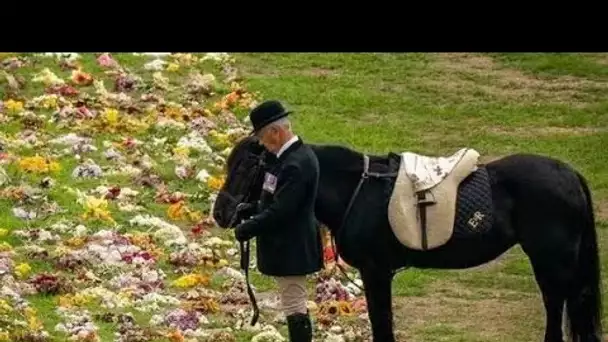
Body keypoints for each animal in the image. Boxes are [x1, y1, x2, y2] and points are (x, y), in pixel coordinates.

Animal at [211, 137, 600, 342]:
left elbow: (381, 321)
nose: (221, 213)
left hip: (551, 259)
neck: (357, 191)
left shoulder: (376, 271)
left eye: (245, 167)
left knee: (558, 304)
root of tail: (569, 174)